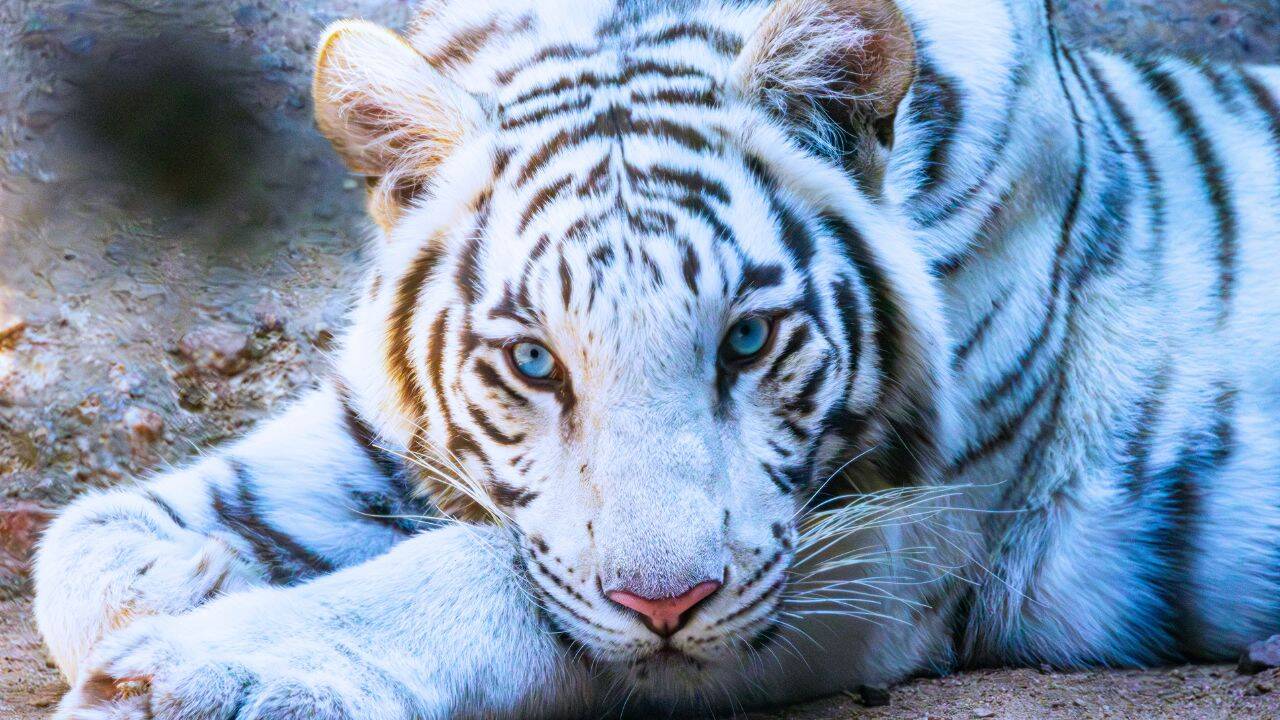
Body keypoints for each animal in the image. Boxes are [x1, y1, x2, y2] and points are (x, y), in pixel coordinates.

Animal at [35, 0, 1280, 717]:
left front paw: (201, 670)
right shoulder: (375, 427)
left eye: (745, 339)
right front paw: (185, 580)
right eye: (533, 363)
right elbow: (84, 538)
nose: (666, 604)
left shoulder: (889, 547)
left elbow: (499, 576)